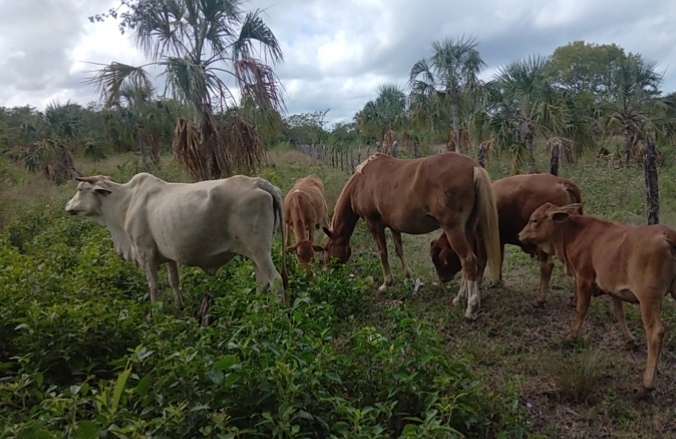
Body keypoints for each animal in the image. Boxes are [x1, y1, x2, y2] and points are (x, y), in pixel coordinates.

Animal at [66, 174, 290, 308]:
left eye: (80, 189)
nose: (68, 206)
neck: (126, 202)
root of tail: (257, 182)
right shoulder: (169, 257)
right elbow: (174, 282)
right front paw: (180, 307)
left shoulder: (145, 253)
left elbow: (153, 286)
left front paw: (156, 314)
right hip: (255, 253)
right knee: (262, 282)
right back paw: (257, 306)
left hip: (259, 251)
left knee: (275, 280)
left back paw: (278, 312)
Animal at [322, 153, 502, 322]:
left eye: (326, 249)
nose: (326, 271)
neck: (362, 181)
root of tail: (473, 167)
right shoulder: (394, 226)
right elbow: (399, 250)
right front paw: (408, 278)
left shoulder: (373, 224)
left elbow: (382, 253)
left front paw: (386, 283)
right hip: (468, 228)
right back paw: (460, 298)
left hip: (453, 229)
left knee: (468, 260)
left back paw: (471, 308)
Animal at [430, 174, 584, 308]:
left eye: (439, 259)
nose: (442, 279)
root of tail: (561, 182)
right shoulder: (499, 241)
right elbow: (499, 259)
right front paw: (497, 282)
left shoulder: (480, 237)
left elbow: (481, 261)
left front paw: (478, 283)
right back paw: (575, 301)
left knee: (547, 266)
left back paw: (539, 300)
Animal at [516, 203, 676, 398]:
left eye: (534, 220)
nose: (520, 235)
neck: (574, 233)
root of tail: (667, 235)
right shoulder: (613, 288)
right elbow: (619, 313)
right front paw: (629, 340)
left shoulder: (584, 278)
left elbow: (581, 308)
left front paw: (571, 335)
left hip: (648, 299)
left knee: (655, 333)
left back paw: (646, 384)